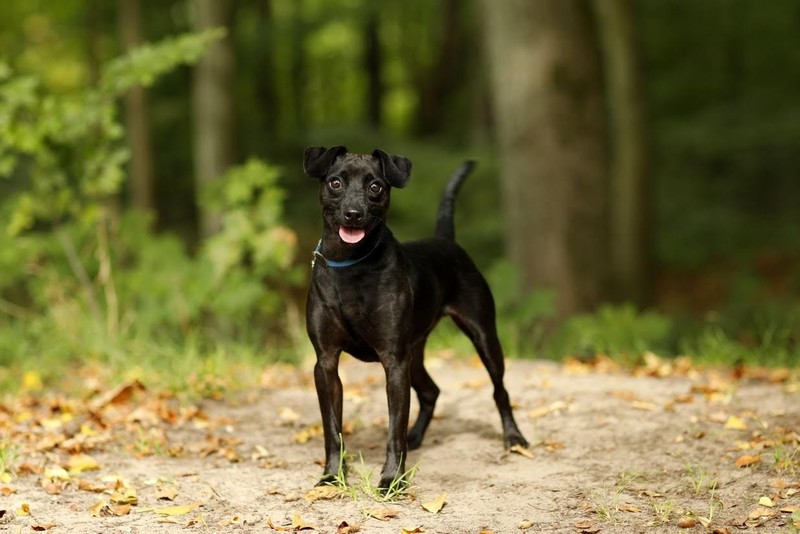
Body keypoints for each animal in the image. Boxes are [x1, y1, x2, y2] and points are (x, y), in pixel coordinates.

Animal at [304, 147, 528, 490]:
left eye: (376, 186)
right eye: (335, 182)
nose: (354, 213)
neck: (350, 265)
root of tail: (446, 240)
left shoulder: (394, 361)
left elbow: (393, 428)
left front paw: (392, 479)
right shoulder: (326, 362)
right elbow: (332, 428)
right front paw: (332, 475)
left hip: (483, 337)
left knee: (499, 391)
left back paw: (514, 438)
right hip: (415, 353)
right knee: (431, 391)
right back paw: (417, 437)